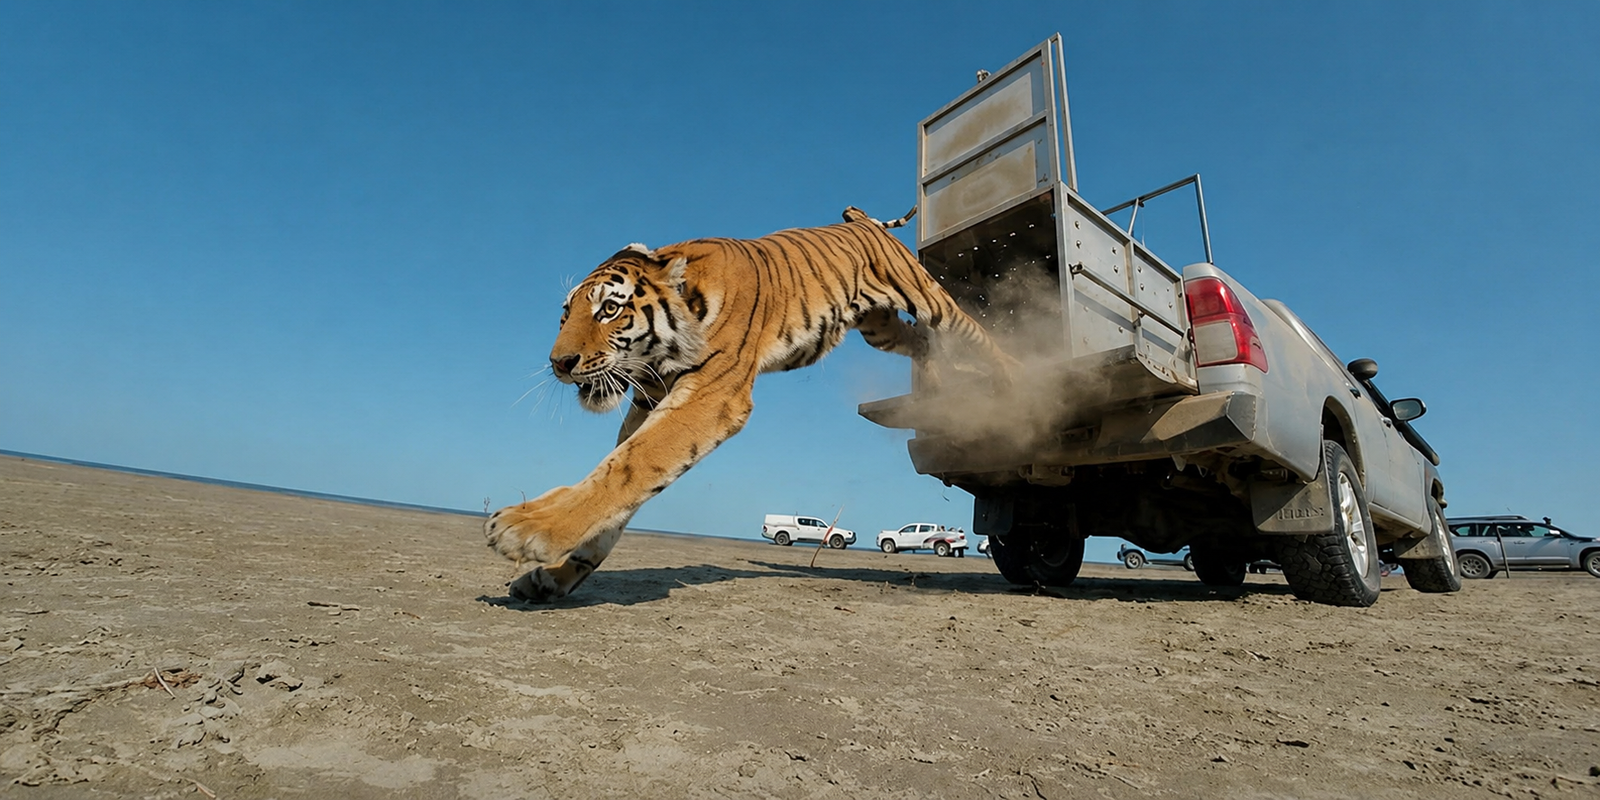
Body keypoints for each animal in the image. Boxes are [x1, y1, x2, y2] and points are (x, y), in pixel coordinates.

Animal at [484, 206, 1018, 602]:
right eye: (565, 314)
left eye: (609, 310)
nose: (559, 363)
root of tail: (862, 219)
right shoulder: (646, 402)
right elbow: (621, 475)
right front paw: (555, 575)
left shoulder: (711, 395)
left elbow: (629, 466)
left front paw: (526, 528)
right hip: (879, 326)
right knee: (921, 343)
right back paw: (936, 389)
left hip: (926, 296)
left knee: (974, 335)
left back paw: (1016, 382)